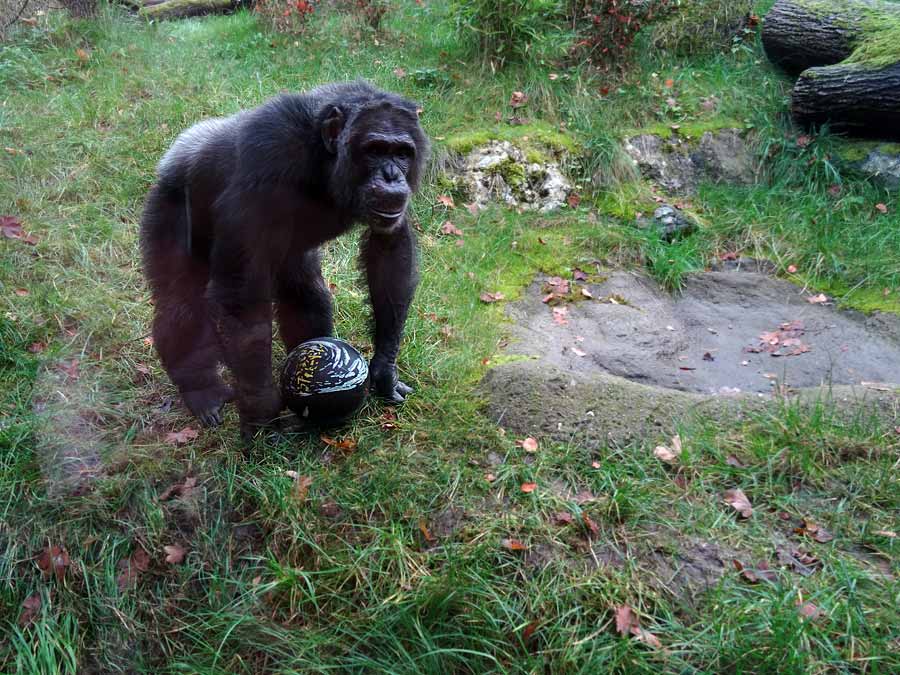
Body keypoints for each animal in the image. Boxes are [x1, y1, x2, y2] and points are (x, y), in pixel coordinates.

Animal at [141, 82, 428, 438]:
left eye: (401, 153)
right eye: (375, 149)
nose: (391, 175)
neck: (323, 158)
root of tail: (176, 151)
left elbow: (389, 251)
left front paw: (384, 370)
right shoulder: (268, 156)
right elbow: (242, 297)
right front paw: (261, 406)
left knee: (305, 290)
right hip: (167, 205)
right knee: (180, 300)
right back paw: (201, 390)